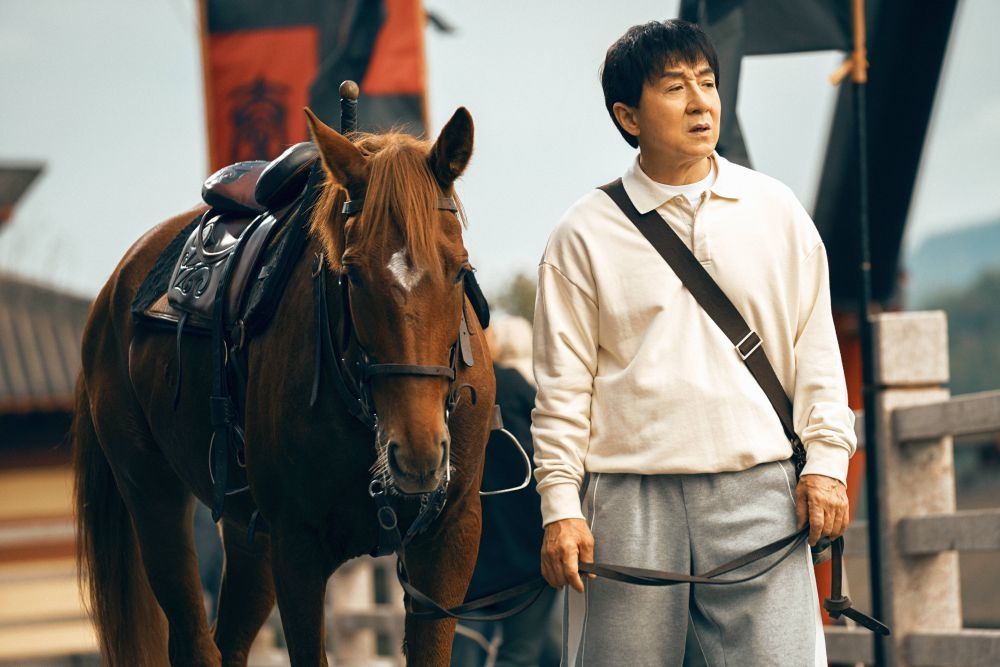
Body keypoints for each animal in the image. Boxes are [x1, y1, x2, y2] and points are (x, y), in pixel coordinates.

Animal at [72, 106, 496, 666]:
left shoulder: (450, 539)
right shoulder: (297, 550)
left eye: (459, 269)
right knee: (195, 640)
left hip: (247, 534)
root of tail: (112, 292)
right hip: (152, 496)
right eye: (352, 274)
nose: (418, 453)